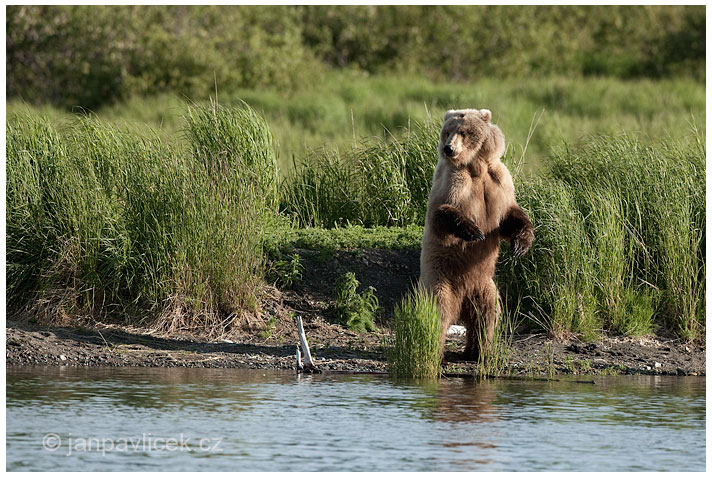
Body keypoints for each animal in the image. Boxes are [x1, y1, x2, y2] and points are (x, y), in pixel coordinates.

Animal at [418, 108, 536, 360]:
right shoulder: (454, 181)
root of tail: (461, 301)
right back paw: (434, 350)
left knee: (487, 313)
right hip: (440, 277)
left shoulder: (498, 181)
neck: (475, 165)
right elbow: (441, 214)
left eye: (463, 131)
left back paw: (479, 351)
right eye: (447, 131)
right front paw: (473, 231)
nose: (448, 149)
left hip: (483, 284)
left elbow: (510, 215)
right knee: (438, 310)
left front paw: (520, 245)